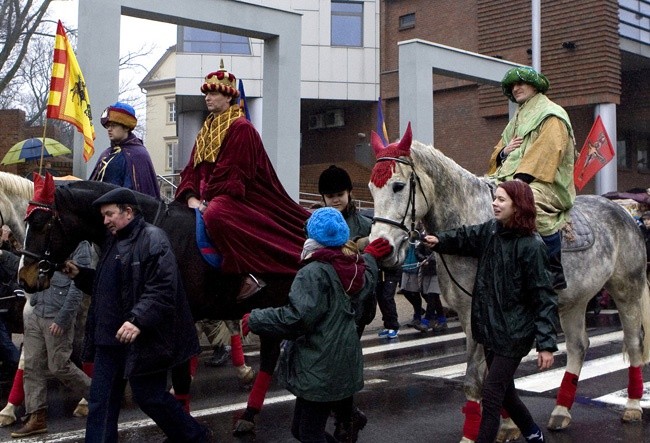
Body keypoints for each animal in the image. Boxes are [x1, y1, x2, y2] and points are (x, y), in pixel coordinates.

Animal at [368, 124, 644, 443]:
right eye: (371, 189)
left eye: (398, 186)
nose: (381, 248)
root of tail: (625, 213)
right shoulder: (473, 317)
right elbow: (493, 374)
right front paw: (509, 425)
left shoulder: (476, 314)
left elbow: (476, 377)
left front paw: (473, 435)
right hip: (575, 300)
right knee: (578, 347)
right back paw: (561, 411)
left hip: (627, 290)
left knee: (633, 343)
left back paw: (633, 406)